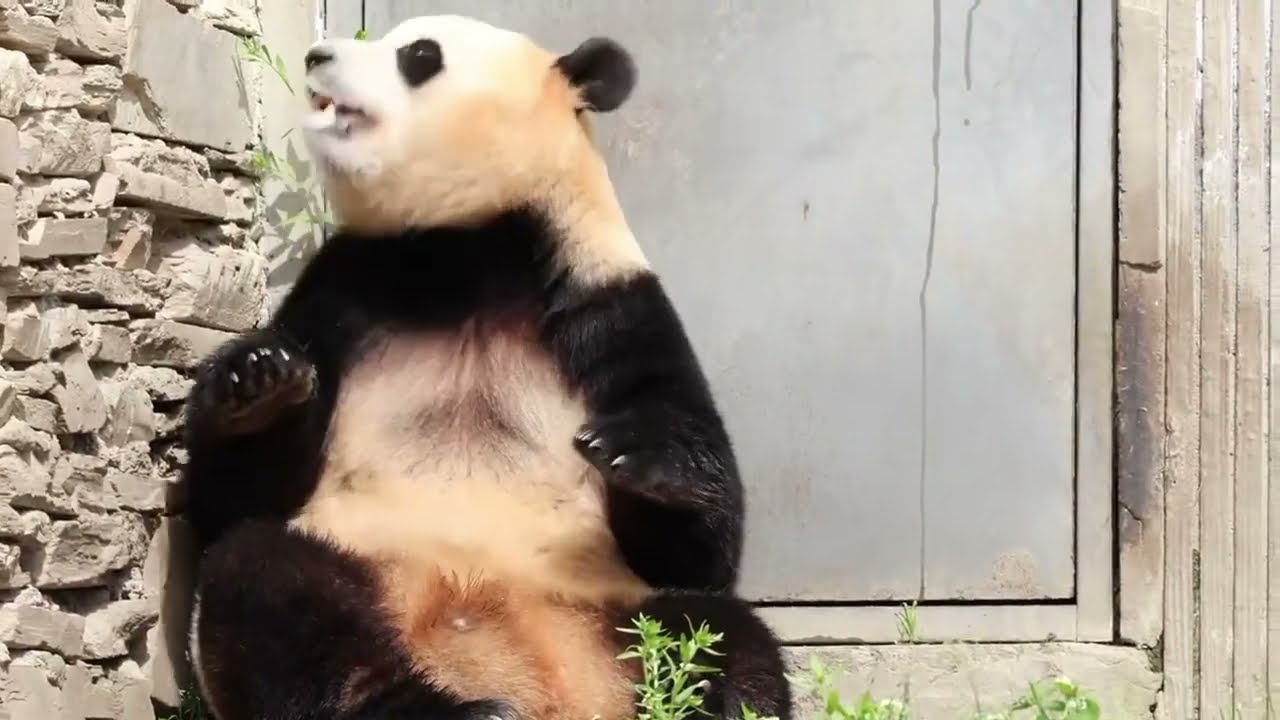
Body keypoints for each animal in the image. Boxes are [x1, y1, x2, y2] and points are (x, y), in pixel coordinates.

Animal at [183, 14, 793, 720]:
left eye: (420, 54)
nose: (316, 56)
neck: (466, 247)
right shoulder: (337, 297)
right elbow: (232, 504)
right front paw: (259, 378)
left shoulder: (608, 305)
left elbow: (700, 551)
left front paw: (634, 450)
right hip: (370, 570)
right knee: (266, 585)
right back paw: (449, 709)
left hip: (613, 616)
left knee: (723, 639)